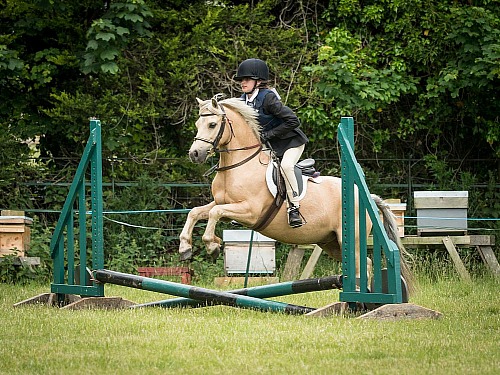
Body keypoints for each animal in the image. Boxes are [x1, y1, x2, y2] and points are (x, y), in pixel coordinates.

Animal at [180, 94, 414, 288]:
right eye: (197, 124)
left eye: (212, 124)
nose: (194, 154)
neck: (238, 165)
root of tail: (366, 196)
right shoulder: (223, 203)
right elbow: (197, 212)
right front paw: (186, 248)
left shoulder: (250, 211)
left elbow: (214, 213)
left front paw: (212, 245)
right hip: (330, 242)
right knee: (364, 262)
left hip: (350, 239)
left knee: (360, 264)